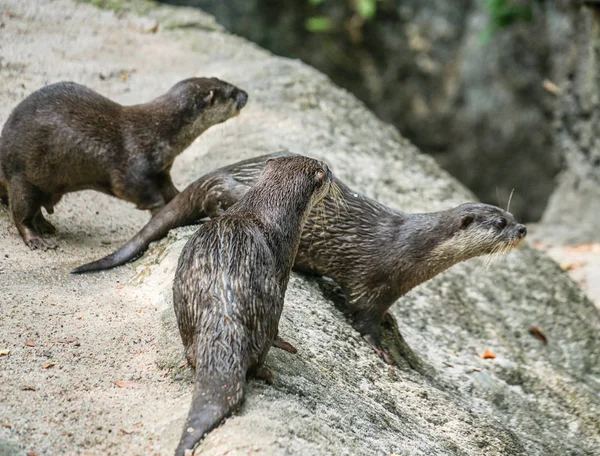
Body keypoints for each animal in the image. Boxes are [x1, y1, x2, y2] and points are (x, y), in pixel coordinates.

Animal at [0, 78, 248, 249]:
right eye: (232, 92)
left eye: (229, 84)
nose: (245, 94)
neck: (157, 132)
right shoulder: (131, 168)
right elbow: (142, 193)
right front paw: (160, 213)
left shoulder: (161, 170)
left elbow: (171, 191)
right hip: (23, 178)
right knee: (21, 213)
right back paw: (36, 239)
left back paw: (46, 226)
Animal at [72, 153, 528, 364]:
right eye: (499, 223)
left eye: (511, 216)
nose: (522, 229)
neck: (413, 249)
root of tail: (221, 169)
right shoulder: (373, 282)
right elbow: (364, 319)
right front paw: (381, 348)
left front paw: (395, 326)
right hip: (230, 193)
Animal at [172, 155, 332, 454]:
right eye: (324, 170)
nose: (331, 170)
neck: (261, 210)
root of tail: (223, 310)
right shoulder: (285, 262)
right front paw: (286, 345)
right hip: (267, 303)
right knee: (261, 350)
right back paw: (269, 372)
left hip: (183, 297)